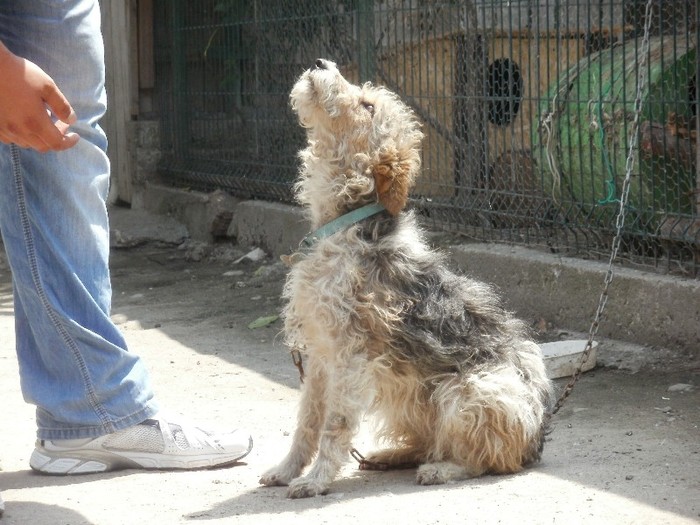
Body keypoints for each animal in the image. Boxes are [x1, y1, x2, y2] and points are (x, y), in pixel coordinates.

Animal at [258, 59, 552, 498]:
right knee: (430, 442)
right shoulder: (320, 356)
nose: (322, 64)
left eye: (367, 106)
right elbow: (307, 422)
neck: (345, 224)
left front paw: (316, 480)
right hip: (412, 397)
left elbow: (334, 426)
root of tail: (535, 441)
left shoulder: (350, 356)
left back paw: (441, 469)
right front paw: (287, 470)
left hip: (471, 390)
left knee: (488, 459)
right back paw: (391, 455)